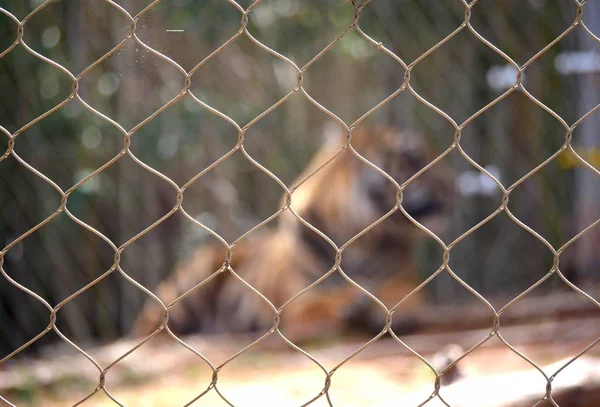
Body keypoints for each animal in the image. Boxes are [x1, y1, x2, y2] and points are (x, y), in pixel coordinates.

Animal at [132, 126, 454, 342]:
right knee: (149, 324)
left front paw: (392, 309)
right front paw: (358, 301)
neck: (362, 238)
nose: (451, 186)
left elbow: (405, 295)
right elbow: (326, 301)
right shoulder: (300, 300)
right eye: (411, 158)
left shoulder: (403, 279)